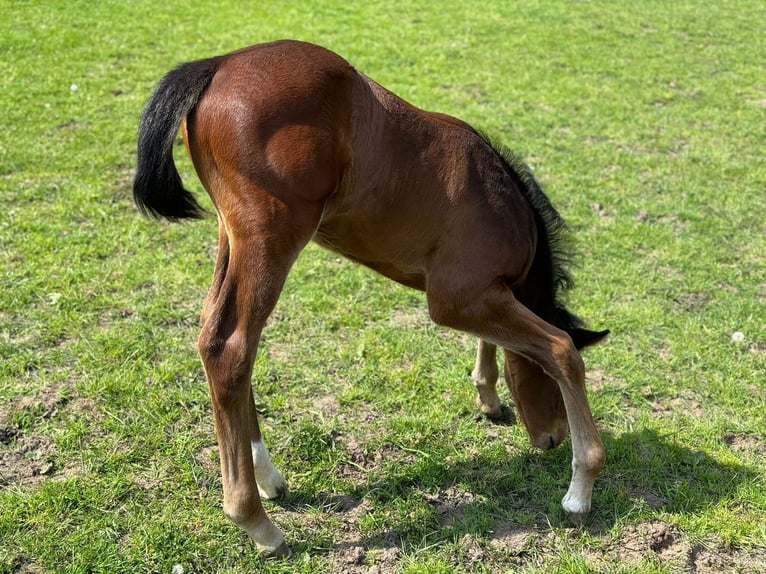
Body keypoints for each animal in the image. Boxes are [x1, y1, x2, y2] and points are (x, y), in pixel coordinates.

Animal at [134, 39, 612, 560]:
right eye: (544, 382)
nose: (552, 438)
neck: (501, 203)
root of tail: (217, 65)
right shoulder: (457, 299)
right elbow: (561, 348)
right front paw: (580, 490)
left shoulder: (484, 294)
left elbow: (492, 342)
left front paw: (488, 397)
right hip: (271, 237)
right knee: (232, 348)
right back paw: (259, 524)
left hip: (233, 236)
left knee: (220, 341)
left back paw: (268, 479)